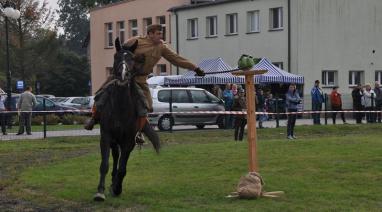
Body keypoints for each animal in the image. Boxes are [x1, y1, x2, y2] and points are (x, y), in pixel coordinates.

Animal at [93, 38, 144, 202]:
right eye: (116, 57)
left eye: (132, 58)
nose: (123, 74)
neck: (120, 106)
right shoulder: (106, 136)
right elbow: (105, 164)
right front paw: (100, 191)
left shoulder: (129, 141)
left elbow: (123, 167)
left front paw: (117, 188)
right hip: (114, 141)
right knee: (115, 156)